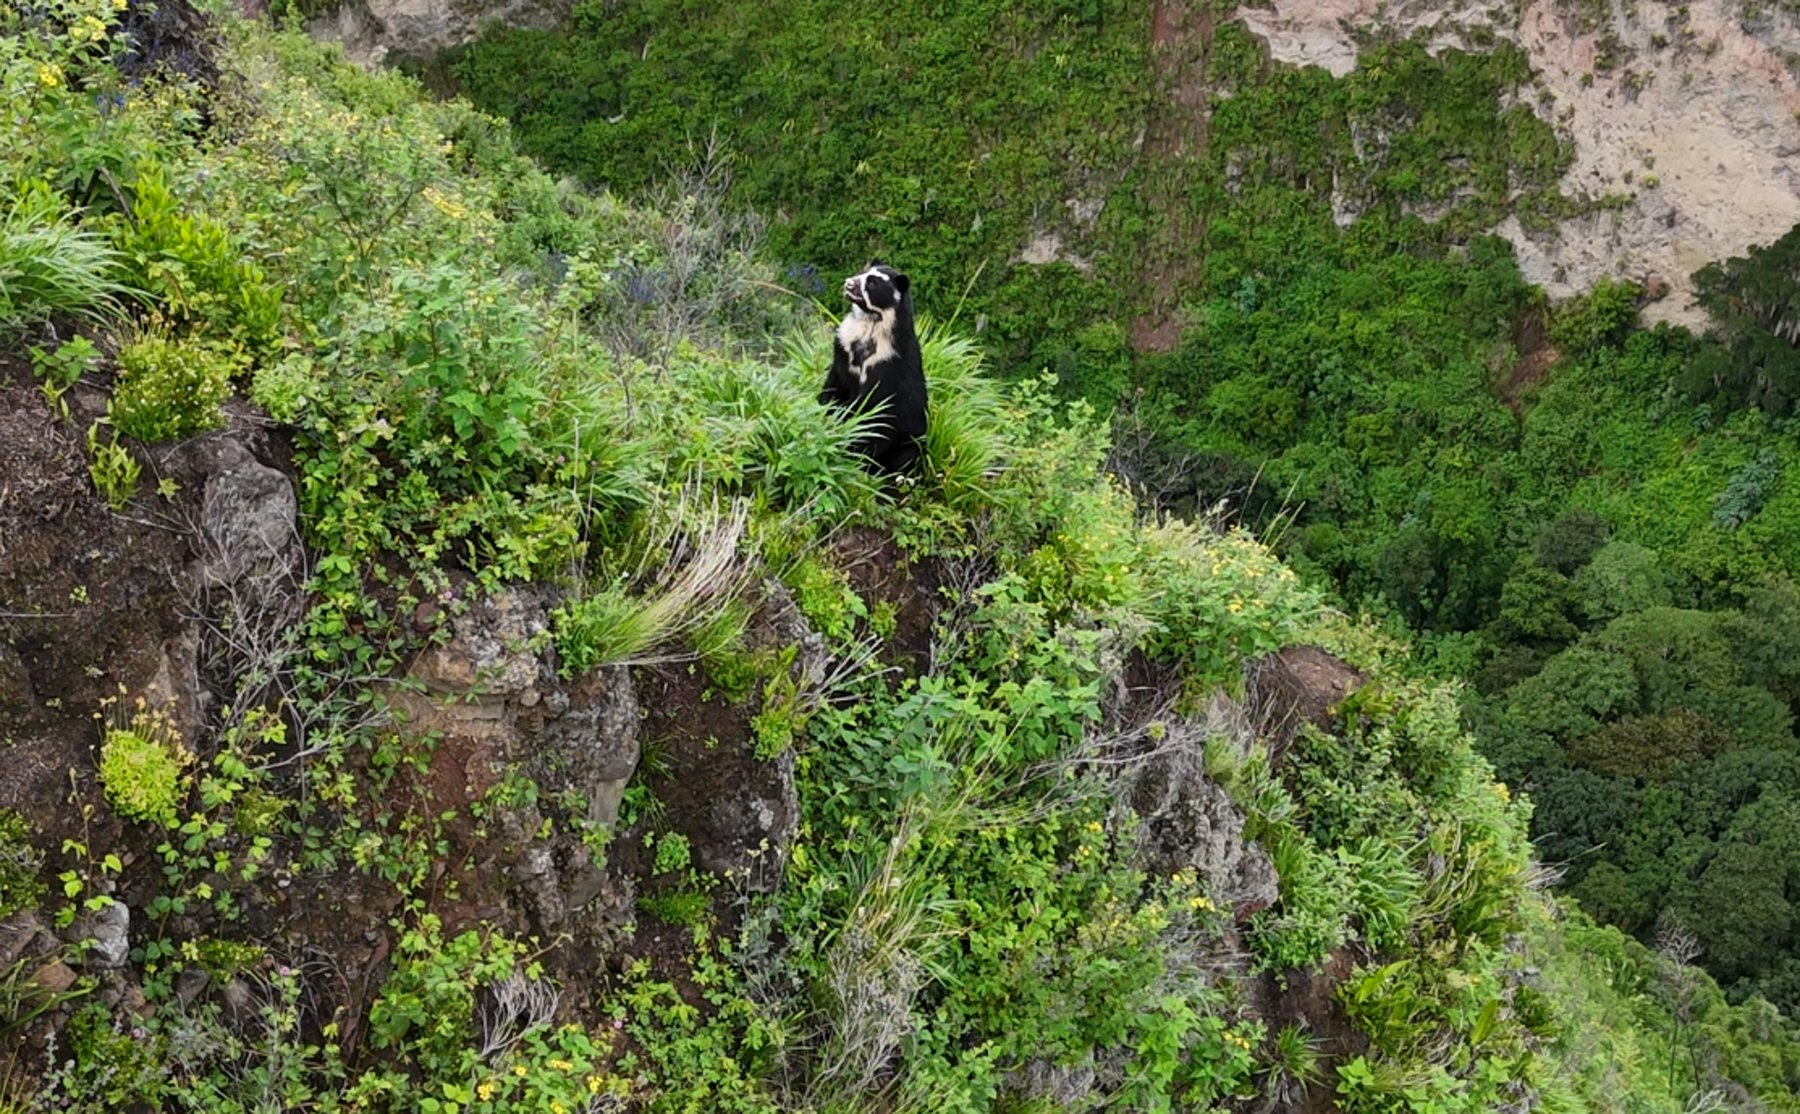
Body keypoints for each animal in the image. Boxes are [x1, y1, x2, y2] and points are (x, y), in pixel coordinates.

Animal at [818, 263, 928, 475]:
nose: (848, 284)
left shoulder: (888, 367)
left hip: (910, 439)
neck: (871, 324)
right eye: (862, 272)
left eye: (872, 283)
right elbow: (834, 385)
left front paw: (852, 449)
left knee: (904, 457)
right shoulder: (844, 349)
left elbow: (872, 412)